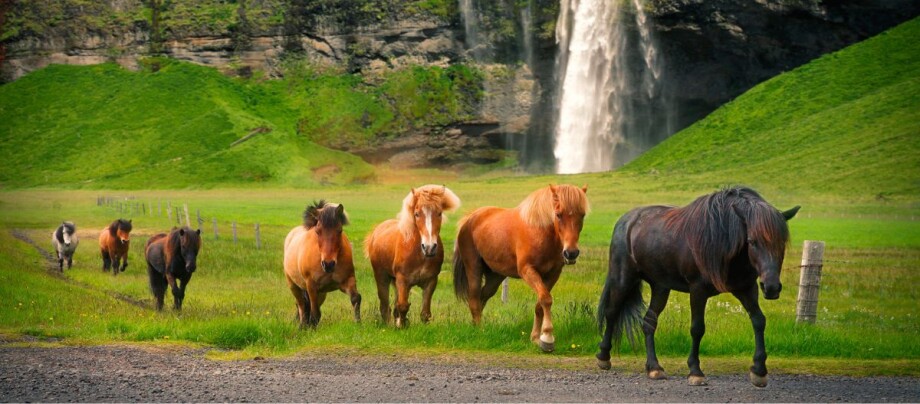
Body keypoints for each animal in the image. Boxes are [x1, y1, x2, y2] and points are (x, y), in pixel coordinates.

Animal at [282, 200, 362, 328]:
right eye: (317, 231)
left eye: (339, 230)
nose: (328, 264)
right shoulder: (312, 287)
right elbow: (314, 313)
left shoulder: (347, 281)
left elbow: (356, 298)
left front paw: (358, 323)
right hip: (294, 286)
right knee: (301, 305)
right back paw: (302, 326)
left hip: (322, 293)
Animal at [364, 185, 460, 326]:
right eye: (417, 214)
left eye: (439, 213)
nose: (429, 247)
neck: (419, 255)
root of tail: (377, 230)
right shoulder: (402, 280)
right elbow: (403, 306)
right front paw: (402, 326)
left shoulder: (430, 281)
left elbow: (425, 313)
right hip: (382, 277)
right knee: (385, 307)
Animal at [452, 185, 588, 352]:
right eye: (558, 214)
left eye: (582, 215)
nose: (571, 253)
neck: (540, 231)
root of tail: (470, 218)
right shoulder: (527, 270)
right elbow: (546, 299)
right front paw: (547, 337)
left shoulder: (553, 274)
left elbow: (540, 303)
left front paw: (536, 338)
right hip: (473, 269)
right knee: (474, 297)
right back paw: (479, 329)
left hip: (495, 276)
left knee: (482, 297)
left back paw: (475, 325)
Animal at [596, 186, 796, 388]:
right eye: (752, 241)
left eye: (781, 243)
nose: (771, 287)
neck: (722, 240)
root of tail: (626, 220)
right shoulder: (698, 290)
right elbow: (697, 328)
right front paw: (695, 371)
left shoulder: (746, 288)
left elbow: (759, 321)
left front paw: (759, 370)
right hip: (623, 279)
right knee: (612, 313)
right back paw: (604, 357)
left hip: (660, 287)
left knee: (648, 322)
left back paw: (654, 368)